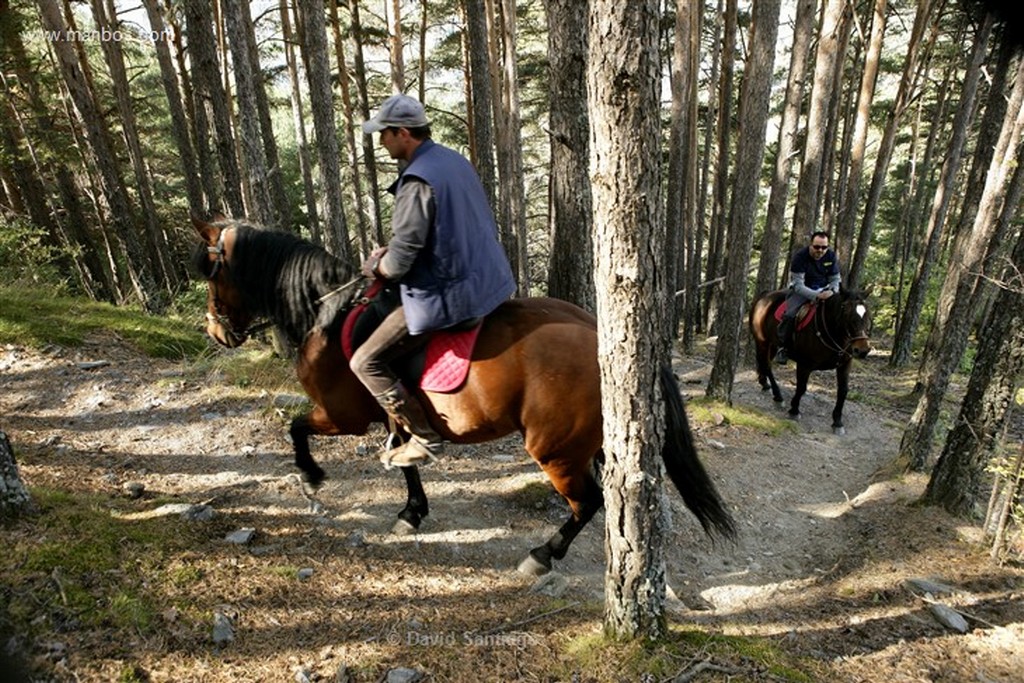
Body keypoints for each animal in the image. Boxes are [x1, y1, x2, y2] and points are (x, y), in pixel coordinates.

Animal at [192, 219, 737, 577]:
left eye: (213, 273)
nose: (215, 332)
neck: (327, 312)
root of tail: (599, 334)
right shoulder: (391, 417)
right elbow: (407, 461)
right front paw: (411, 513)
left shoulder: (342, 415)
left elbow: (297, 427)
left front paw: (310, 477)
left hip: (555, 449)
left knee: (588, 501)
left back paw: (542, 555)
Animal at [749, 286, 868, 436]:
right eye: (847, 313)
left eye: (866, 313)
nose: (863, 350)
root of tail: (764, 296)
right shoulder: (804, 364)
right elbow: (801, 387)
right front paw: (794, 410)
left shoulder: (845, 364)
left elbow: (843, 391)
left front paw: (837, 422)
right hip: (762, 341)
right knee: (767, 365)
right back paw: (778, 396)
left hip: (773, 344)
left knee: (764, 362)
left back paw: (764, 383)